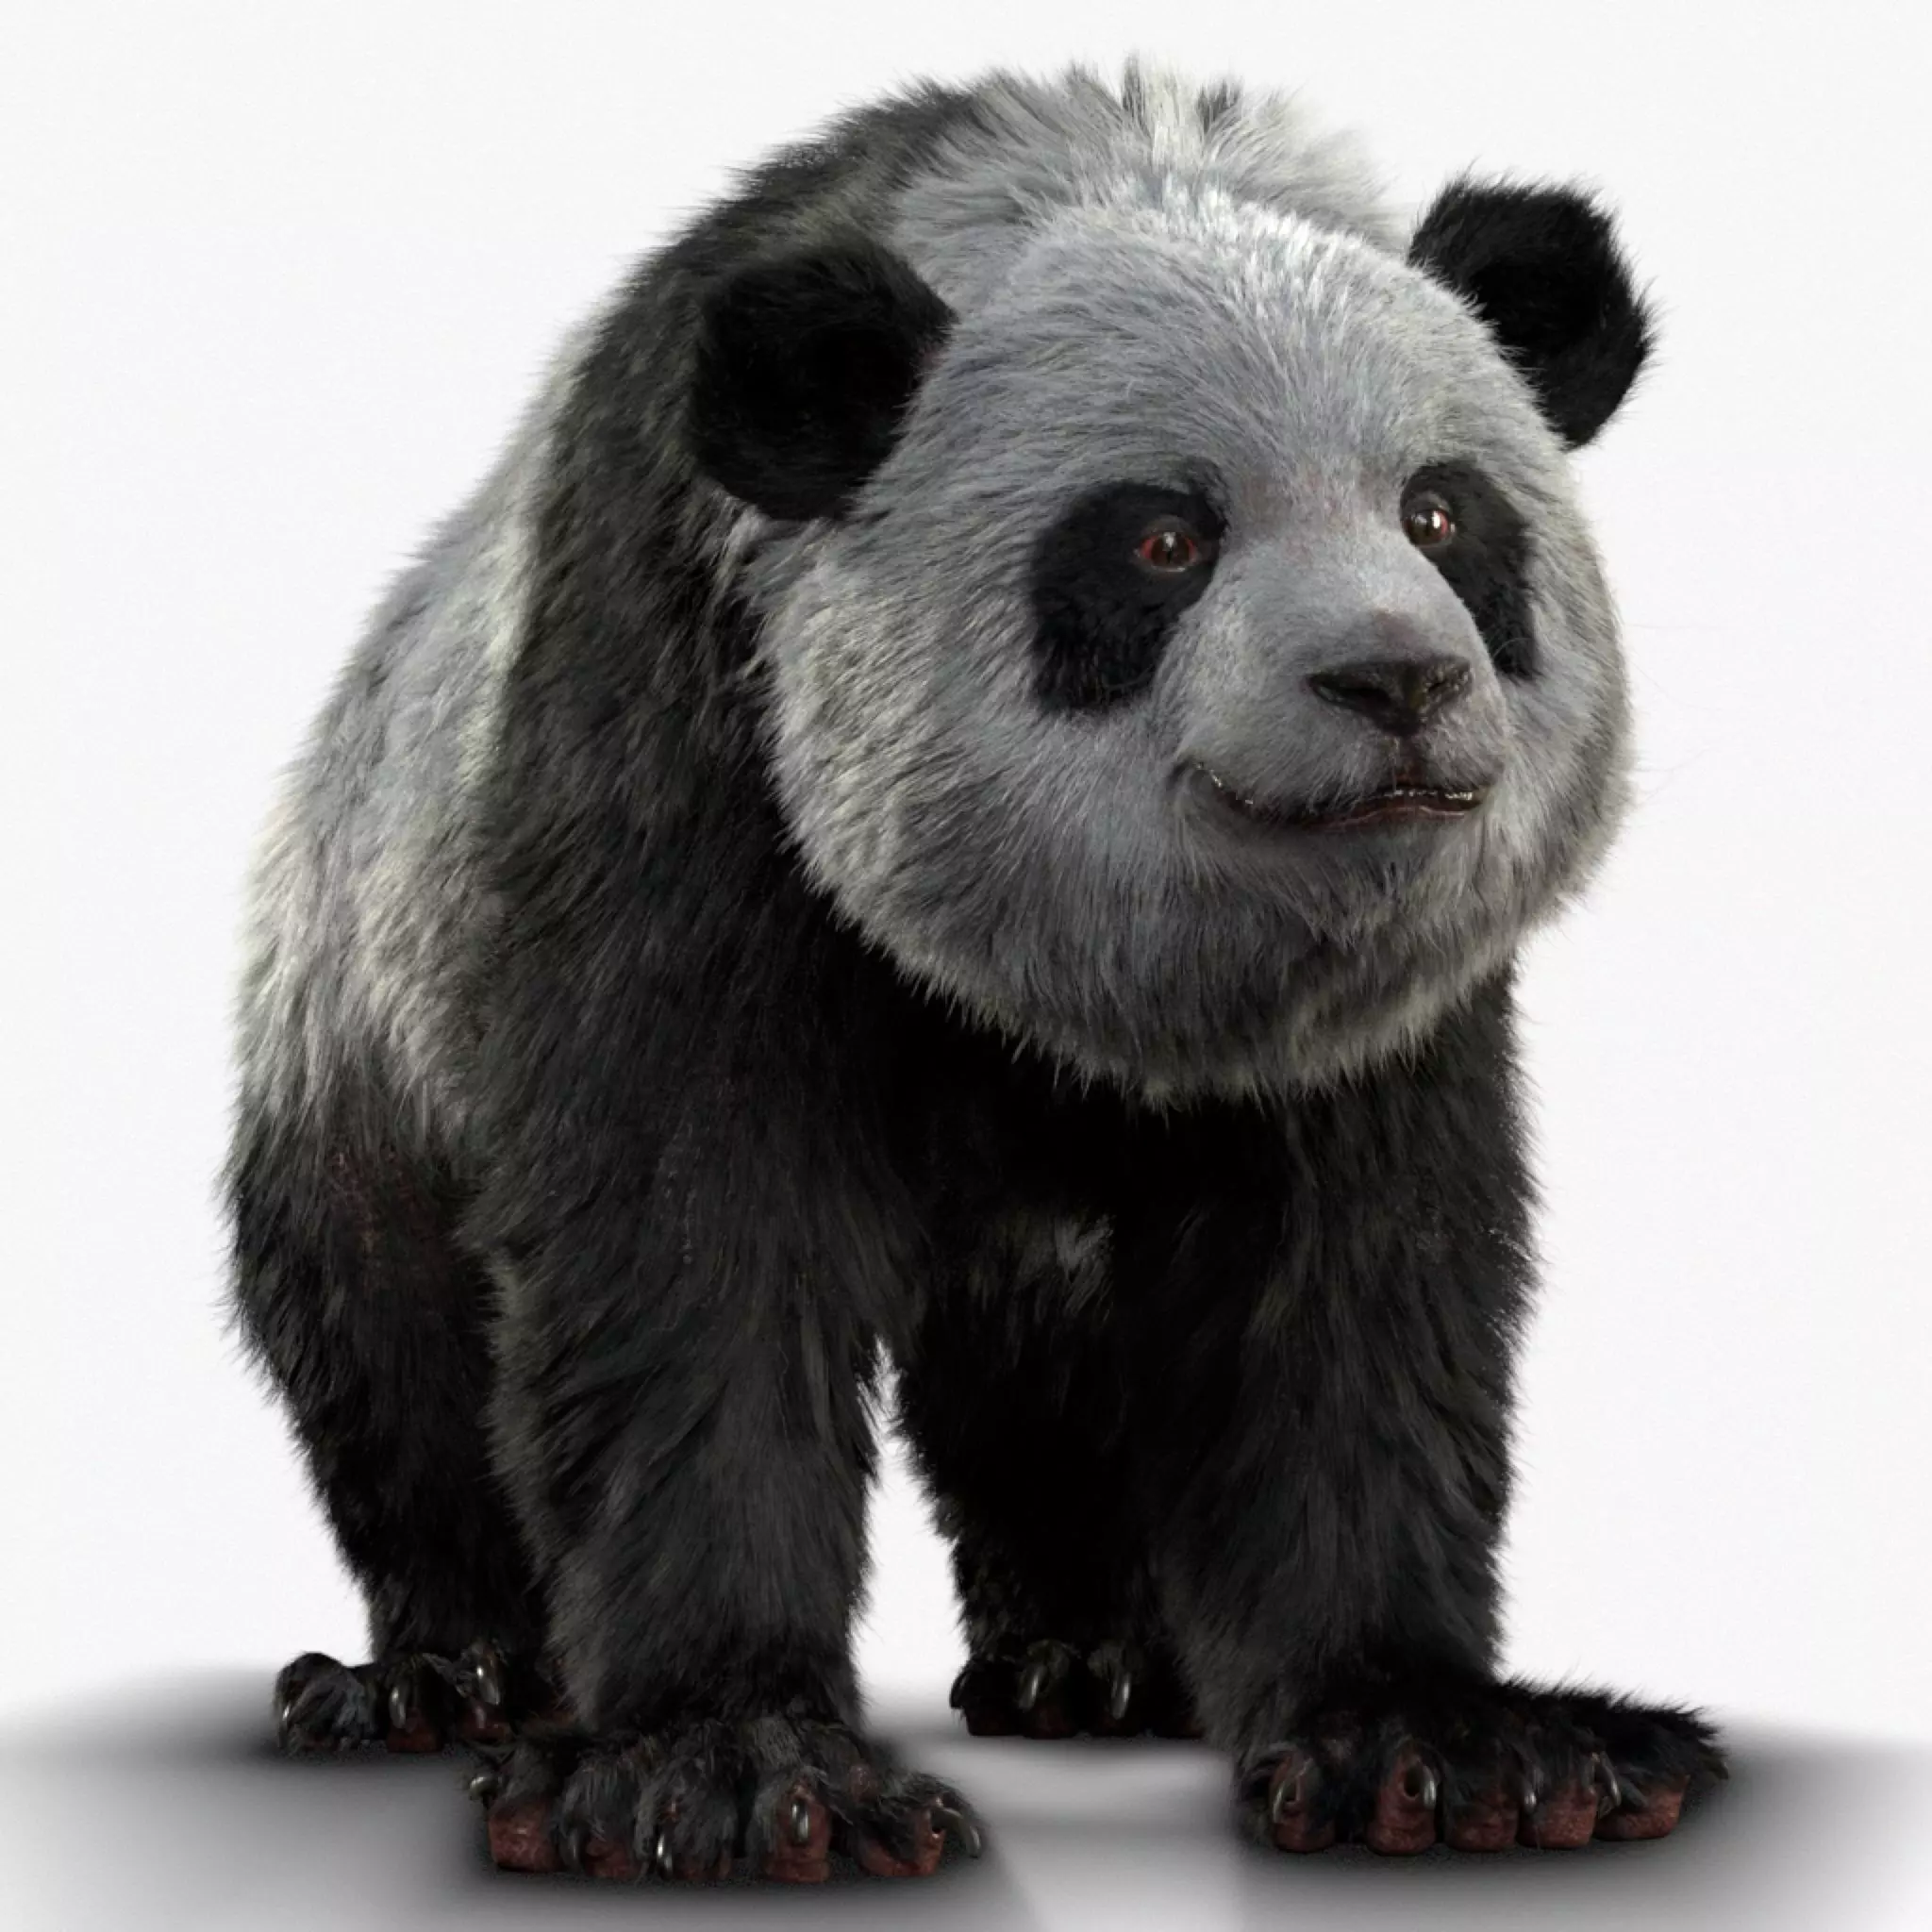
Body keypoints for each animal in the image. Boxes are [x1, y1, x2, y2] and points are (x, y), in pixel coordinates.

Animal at [226, 56, 1727, 1880]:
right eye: (1160, 542)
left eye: (1443, 513)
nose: (1395, 680)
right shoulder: (676, 716)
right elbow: (683, 1230)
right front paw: (719, 1768)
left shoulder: (1375, 1014)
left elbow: (1352, 1277)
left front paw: (1445, 1746)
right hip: (359, 983)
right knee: (385, 1336)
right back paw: (441, 1672)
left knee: (1049, 1380)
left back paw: (1096, 1659)